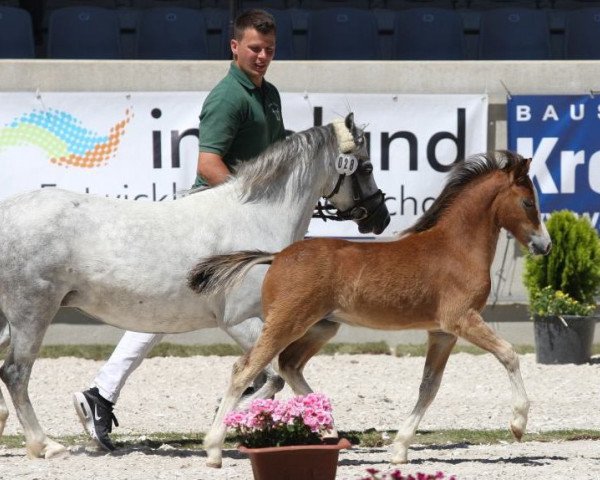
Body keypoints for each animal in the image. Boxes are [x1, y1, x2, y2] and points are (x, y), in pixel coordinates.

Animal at [0, 111, 390, 458]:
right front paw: (228, 421)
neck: (256, 219)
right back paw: (46, 446)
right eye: (368, 167)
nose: (381, 218)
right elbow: (271, 377)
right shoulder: (241, 322)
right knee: (15, 373)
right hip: (32, 312)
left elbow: (283, 374)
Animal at [190, 150, 552, 464]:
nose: (545, 246)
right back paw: (214, 449)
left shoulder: (442, 332)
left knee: (289, 365)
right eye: (528, 202)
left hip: (322, 326)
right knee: (245, 369)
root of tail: (275, 256)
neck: (456, 248)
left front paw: (400, 449)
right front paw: (518, 424)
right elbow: (508, 354)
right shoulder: (462, 319)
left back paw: (329, 433)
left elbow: (429, 387)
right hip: (286, 323)